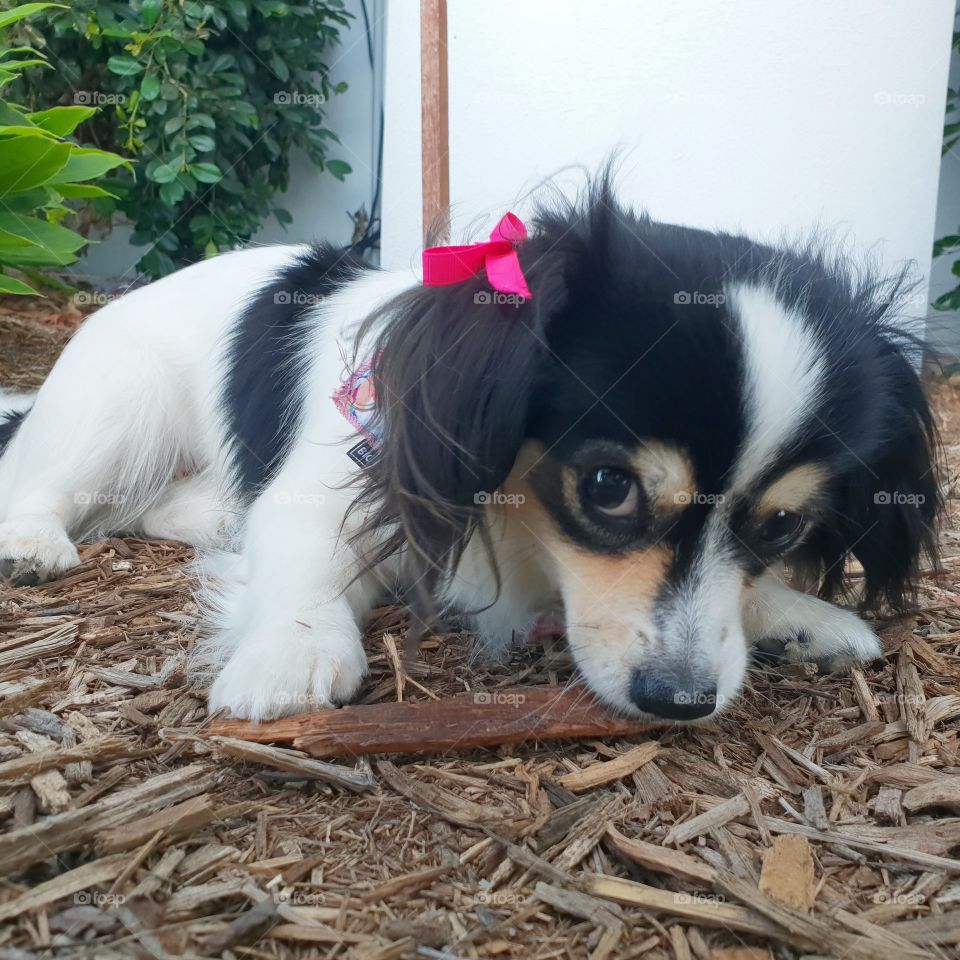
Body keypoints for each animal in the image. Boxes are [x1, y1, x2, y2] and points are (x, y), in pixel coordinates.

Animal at [0, 180, 936, 720]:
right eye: (609, 487)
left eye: (780, 528)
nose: (682, 700)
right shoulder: (330, 494)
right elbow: (302, 566)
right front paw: (291, 652)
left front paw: (794, 611)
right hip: (121, 404)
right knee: (45, 482)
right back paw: (32, 542)